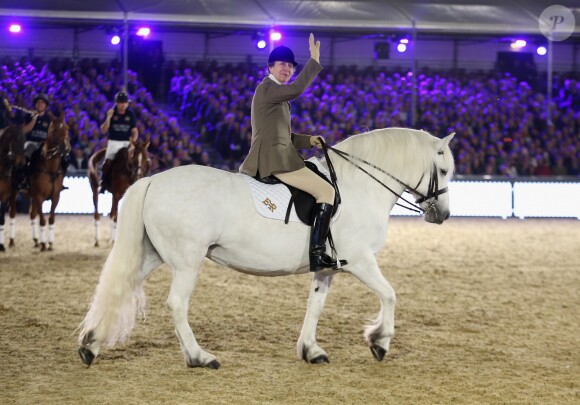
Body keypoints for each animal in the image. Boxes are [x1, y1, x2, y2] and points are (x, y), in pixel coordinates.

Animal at [27, 113, 71, 251]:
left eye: (67, 128)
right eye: (54, 130)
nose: (66, 148)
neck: (50, 168)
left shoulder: (56, 196)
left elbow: (51, 219)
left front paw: (50, 243)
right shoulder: (39, 196)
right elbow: (42, 220)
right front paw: (43, 244)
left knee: (32, 214)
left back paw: (36, 240)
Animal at [78, 128, 454, 368]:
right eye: (445, 169)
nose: (443, 215)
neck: (358, 185)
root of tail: (153, 179)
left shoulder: (326, 266)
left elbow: (315, 305)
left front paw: (310, 350)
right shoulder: (360, 260)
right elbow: (389, 294)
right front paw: (380, 342)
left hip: (152, 254)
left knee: (121, 287)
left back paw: (90, 345)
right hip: (187, 261)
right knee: (176, 305)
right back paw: (200, 357)